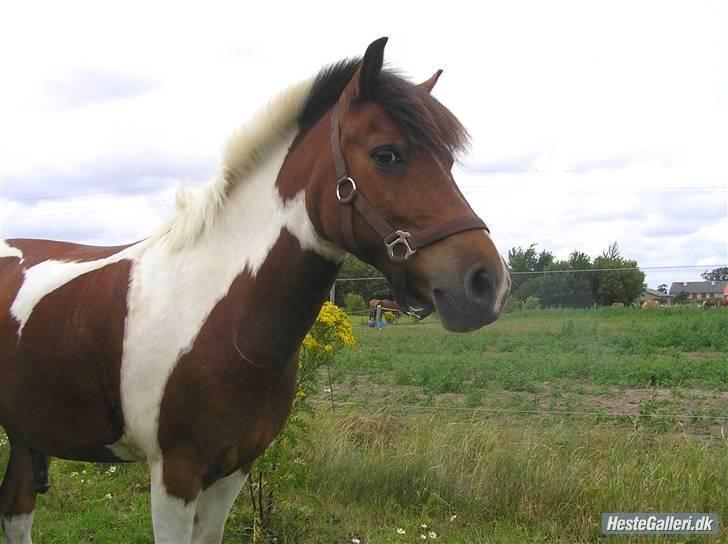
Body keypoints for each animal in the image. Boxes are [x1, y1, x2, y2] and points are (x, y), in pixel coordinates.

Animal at [0, 38, 510, 544]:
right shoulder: (174, 476)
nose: (488, 284)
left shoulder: (234, 470)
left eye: (448, 162)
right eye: (387, 154)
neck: (222, 319)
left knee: (17, 510)